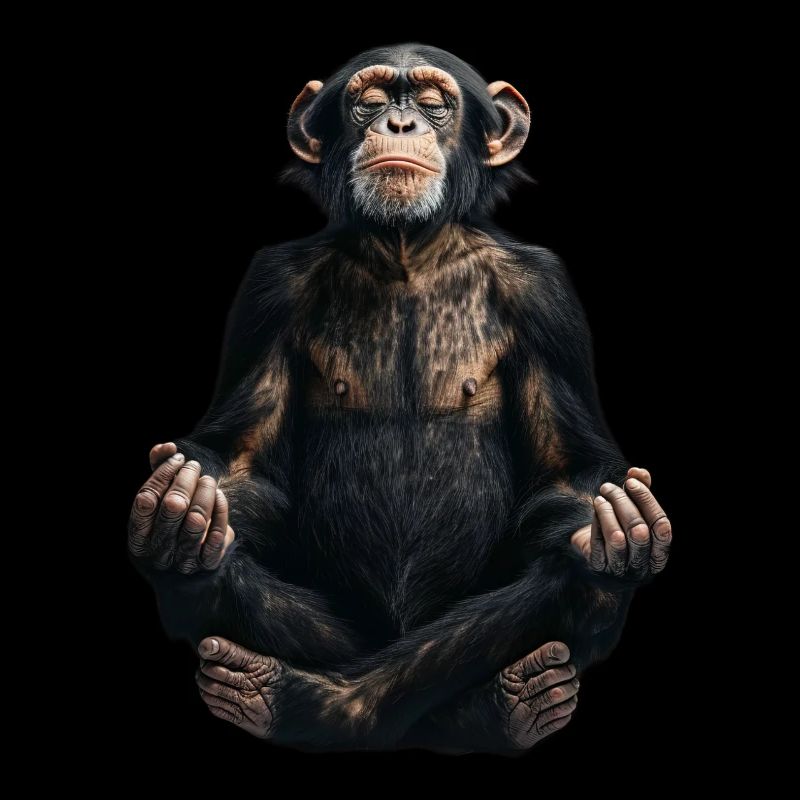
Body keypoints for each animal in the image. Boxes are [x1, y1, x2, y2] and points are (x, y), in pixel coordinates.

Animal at [128, 44, 672, 754]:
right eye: (371, 100)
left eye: (435, 103)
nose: (401, 124)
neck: (405, 251)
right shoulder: (268, 289)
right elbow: (240, 463)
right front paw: (183, 499)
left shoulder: (545, 294)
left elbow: (570, 479)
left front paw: (614, 528)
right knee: (212, 571)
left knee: (574, 582)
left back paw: (485, 703)